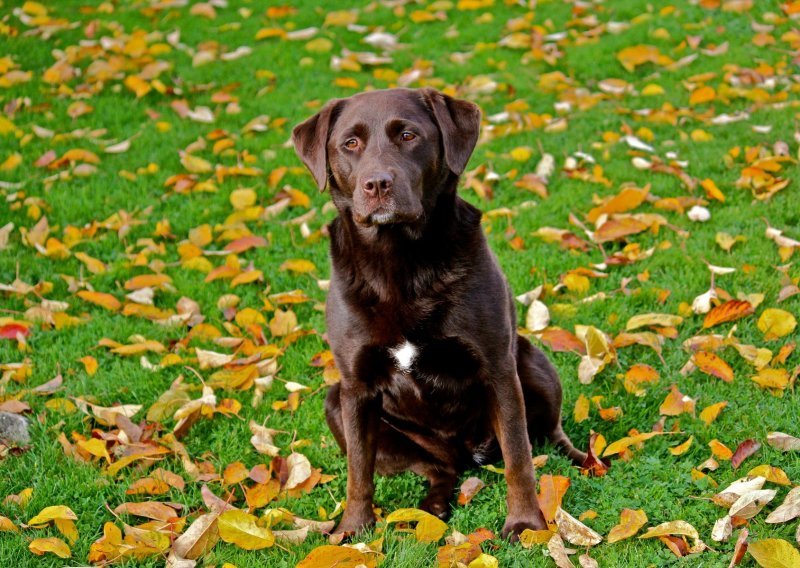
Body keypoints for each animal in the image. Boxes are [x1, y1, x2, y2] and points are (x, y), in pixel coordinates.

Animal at [290, 86, 584, 540]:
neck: (400, 265)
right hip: (336, 402)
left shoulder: (499, 371)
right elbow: (358, 472)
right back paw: (432, 506)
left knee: (550, 434)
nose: (378, 183)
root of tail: (469, 455)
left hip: (533, 363)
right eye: (350, 143)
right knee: (438, 469)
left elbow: (519, 459)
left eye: (408, 135)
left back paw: (587, 461)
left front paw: (524, 523)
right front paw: (353, 529)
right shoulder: (355, 387)